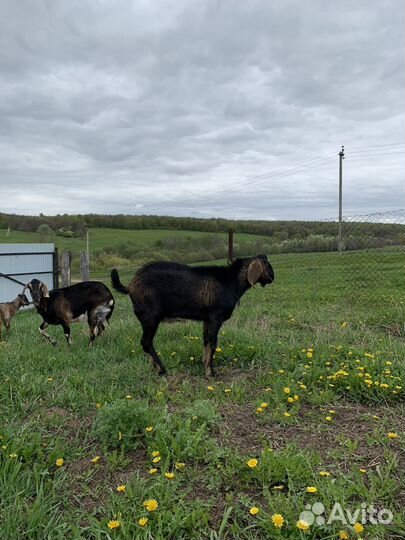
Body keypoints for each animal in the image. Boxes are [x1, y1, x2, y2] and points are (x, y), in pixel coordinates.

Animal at [111, 255, 274, 378]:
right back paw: (162, 370)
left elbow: (206, 342)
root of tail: (130, 286)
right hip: (150, 317)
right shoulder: (216, 318)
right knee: (146, 343)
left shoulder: (207, 320)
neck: (231, 282)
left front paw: (205, 366)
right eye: (266, 265)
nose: (272, 277)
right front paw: (211, 374)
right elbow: (213, 344)